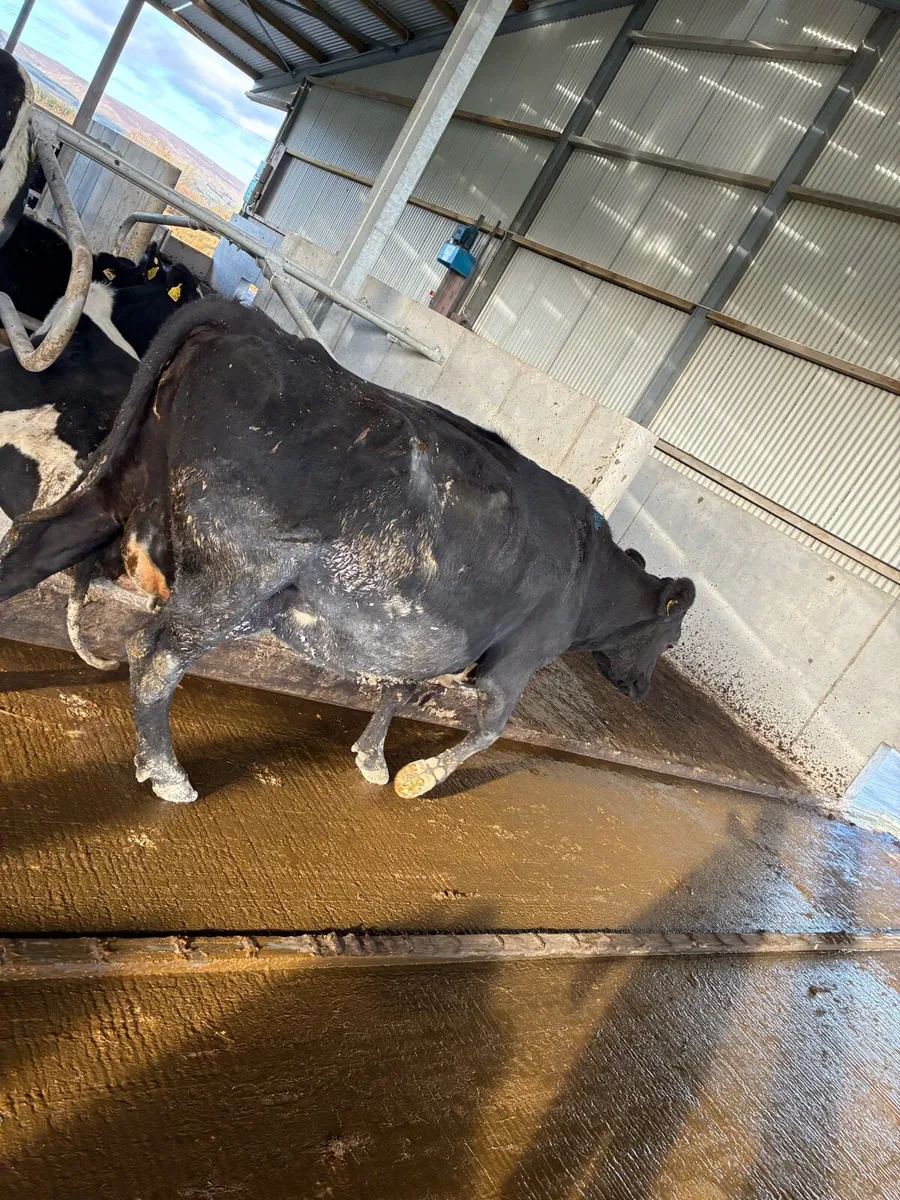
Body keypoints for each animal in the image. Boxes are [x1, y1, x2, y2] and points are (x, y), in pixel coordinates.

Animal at [0, 299, 695, 804]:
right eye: (672, 638)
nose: (640, 688)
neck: (590, 577)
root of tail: (250, 321)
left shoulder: (422, 633)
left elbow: (399, 690)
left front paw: (371, 760)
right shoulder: (515, 659)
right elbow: (489, 732)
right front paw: (418, 779)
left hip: (113, 497)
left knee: (26, 558)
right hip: (235, 579)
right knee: (154, 657)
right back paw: (169, 775)